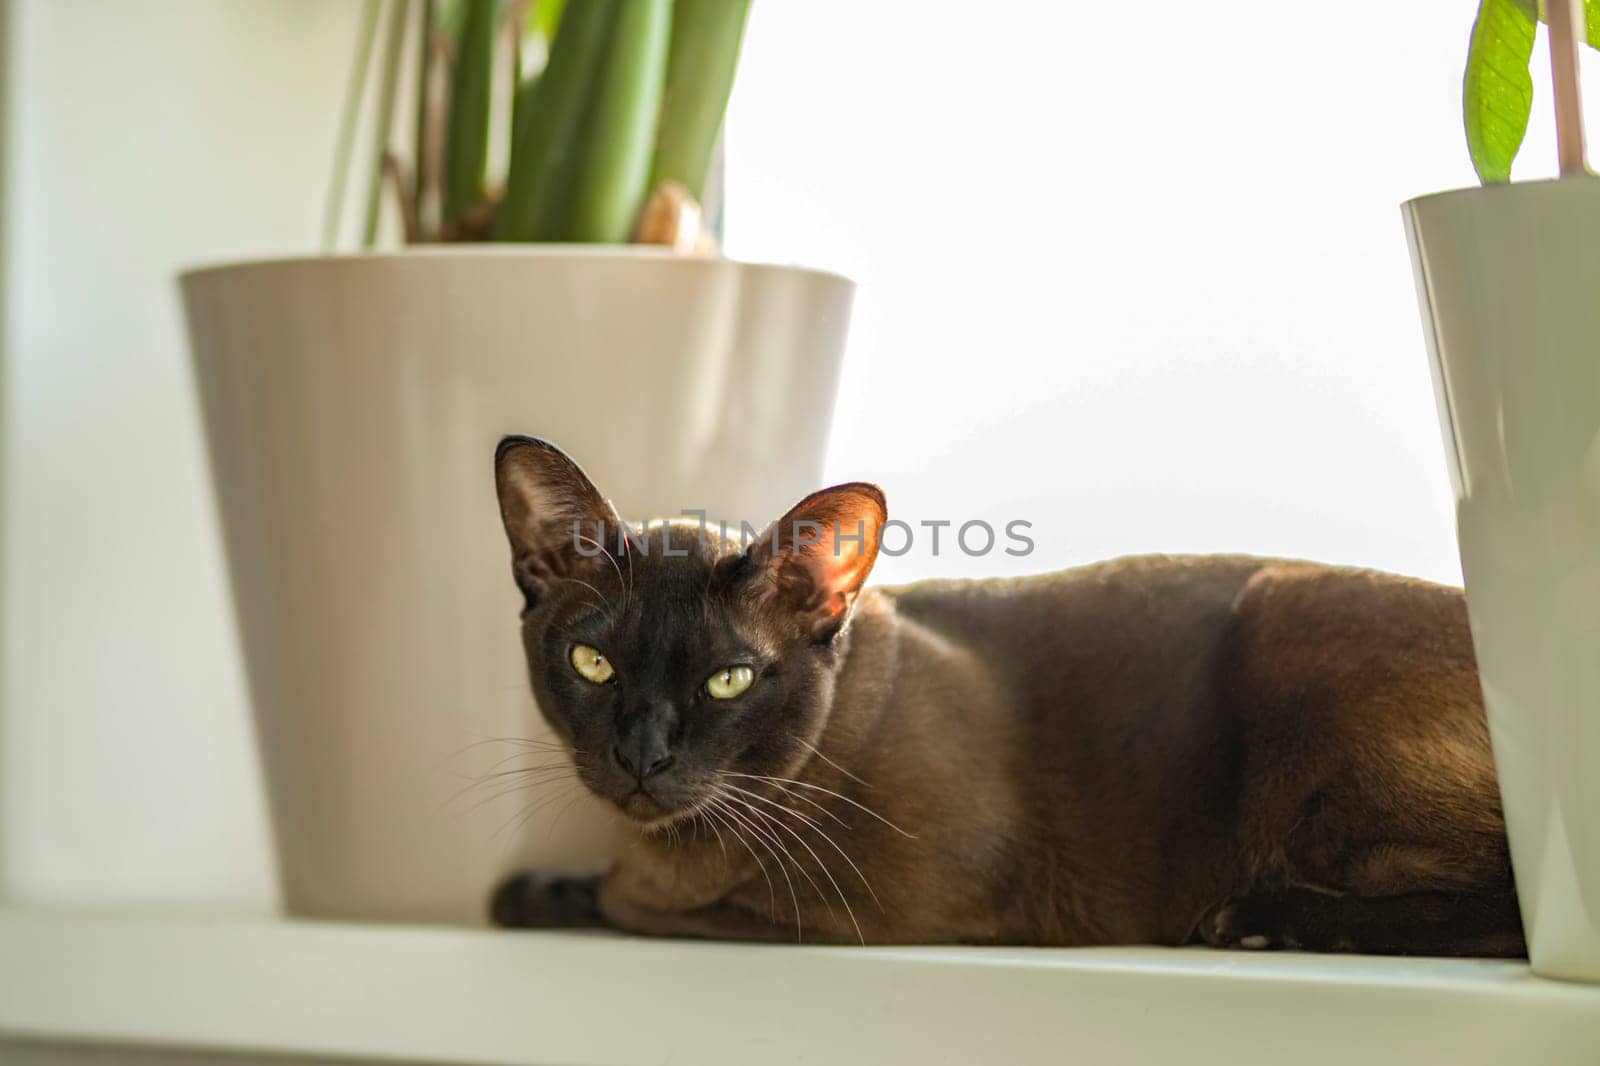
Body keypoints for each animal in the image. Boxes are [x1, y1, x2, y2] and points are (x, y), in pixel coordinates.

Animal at [483, 435, 1523, 947]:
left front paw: (568, 894)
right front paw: (533, 894)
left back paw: (1254, 925)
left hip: (1285, 619)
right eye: (593, 664)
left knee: (1507, 911)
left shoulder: (877, 916)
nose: (642, 758)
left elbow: (634, 903)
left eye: (728, 680)